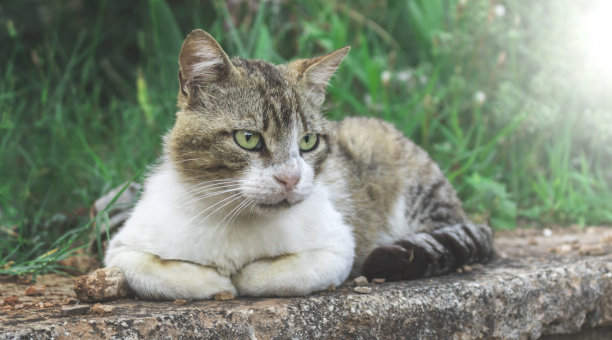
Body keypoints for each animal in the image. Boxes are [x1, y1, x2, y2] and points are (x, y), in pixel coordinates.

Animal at [105, 29, 494, 300]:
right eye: (248, 138)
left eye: (308, 141)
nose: (290, 178)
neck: (237, 220)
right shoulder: (121, 249)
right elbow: (153, 270)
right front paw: (216, 280)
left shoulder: (339, 247)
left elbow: (284, 273)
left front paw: (241, 277)